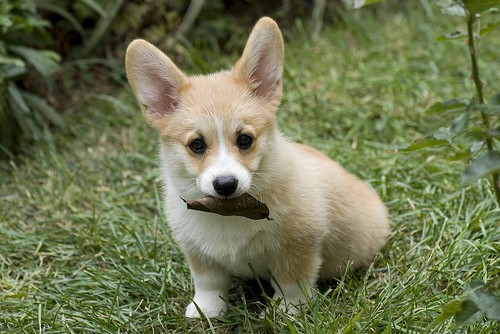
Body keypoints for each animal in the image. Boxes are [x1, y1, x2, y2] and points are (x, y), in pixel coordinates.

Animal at [126, 17, 390, 318]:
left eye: (245, 139)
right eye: (196, 145)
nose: (226, 184)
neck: (229, 212)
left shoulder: (298, 245)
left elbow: (291, 282)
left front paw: (287, 312)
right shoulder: (197, 250)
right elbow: (208, 282)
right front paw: (206, 310)